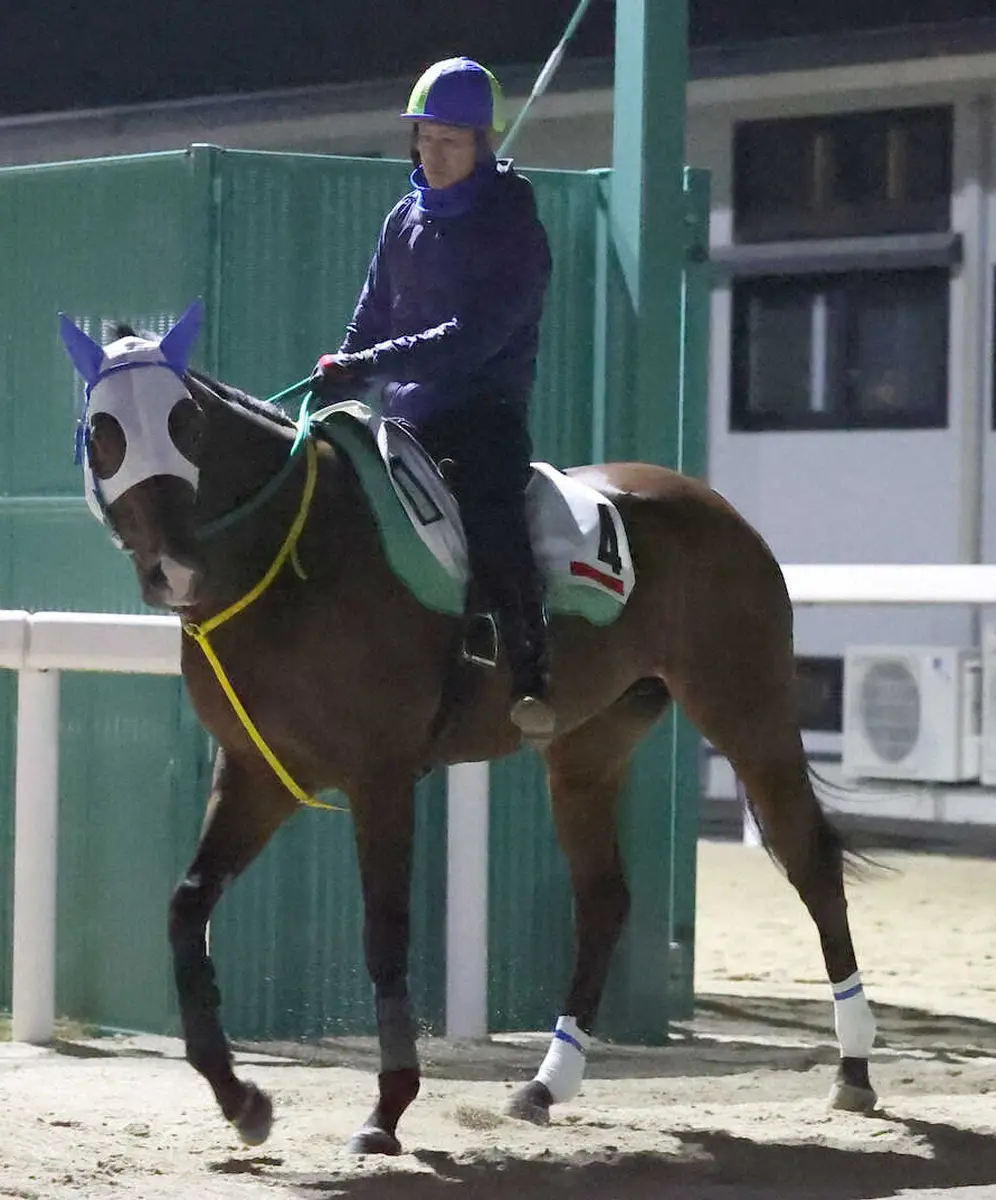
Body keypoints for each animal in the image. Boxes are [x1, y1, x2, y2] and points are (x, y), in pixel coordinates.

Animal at [56, 304, 883, 1156]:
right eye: (102, 431)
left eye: (183, 423)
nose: (173, 567)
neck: (293, 556)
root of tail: (715, 506)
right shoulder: (259, 772)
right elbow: (186, 908)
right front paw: (241, 1098)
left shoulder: (379, 776)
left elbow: (384, 933)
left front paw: (386, 1109)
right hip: (590, 746)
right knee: (604, 898)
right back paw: (547, 1084)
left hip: (746, 706)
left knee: (810, 861)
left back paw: (854, 1069)